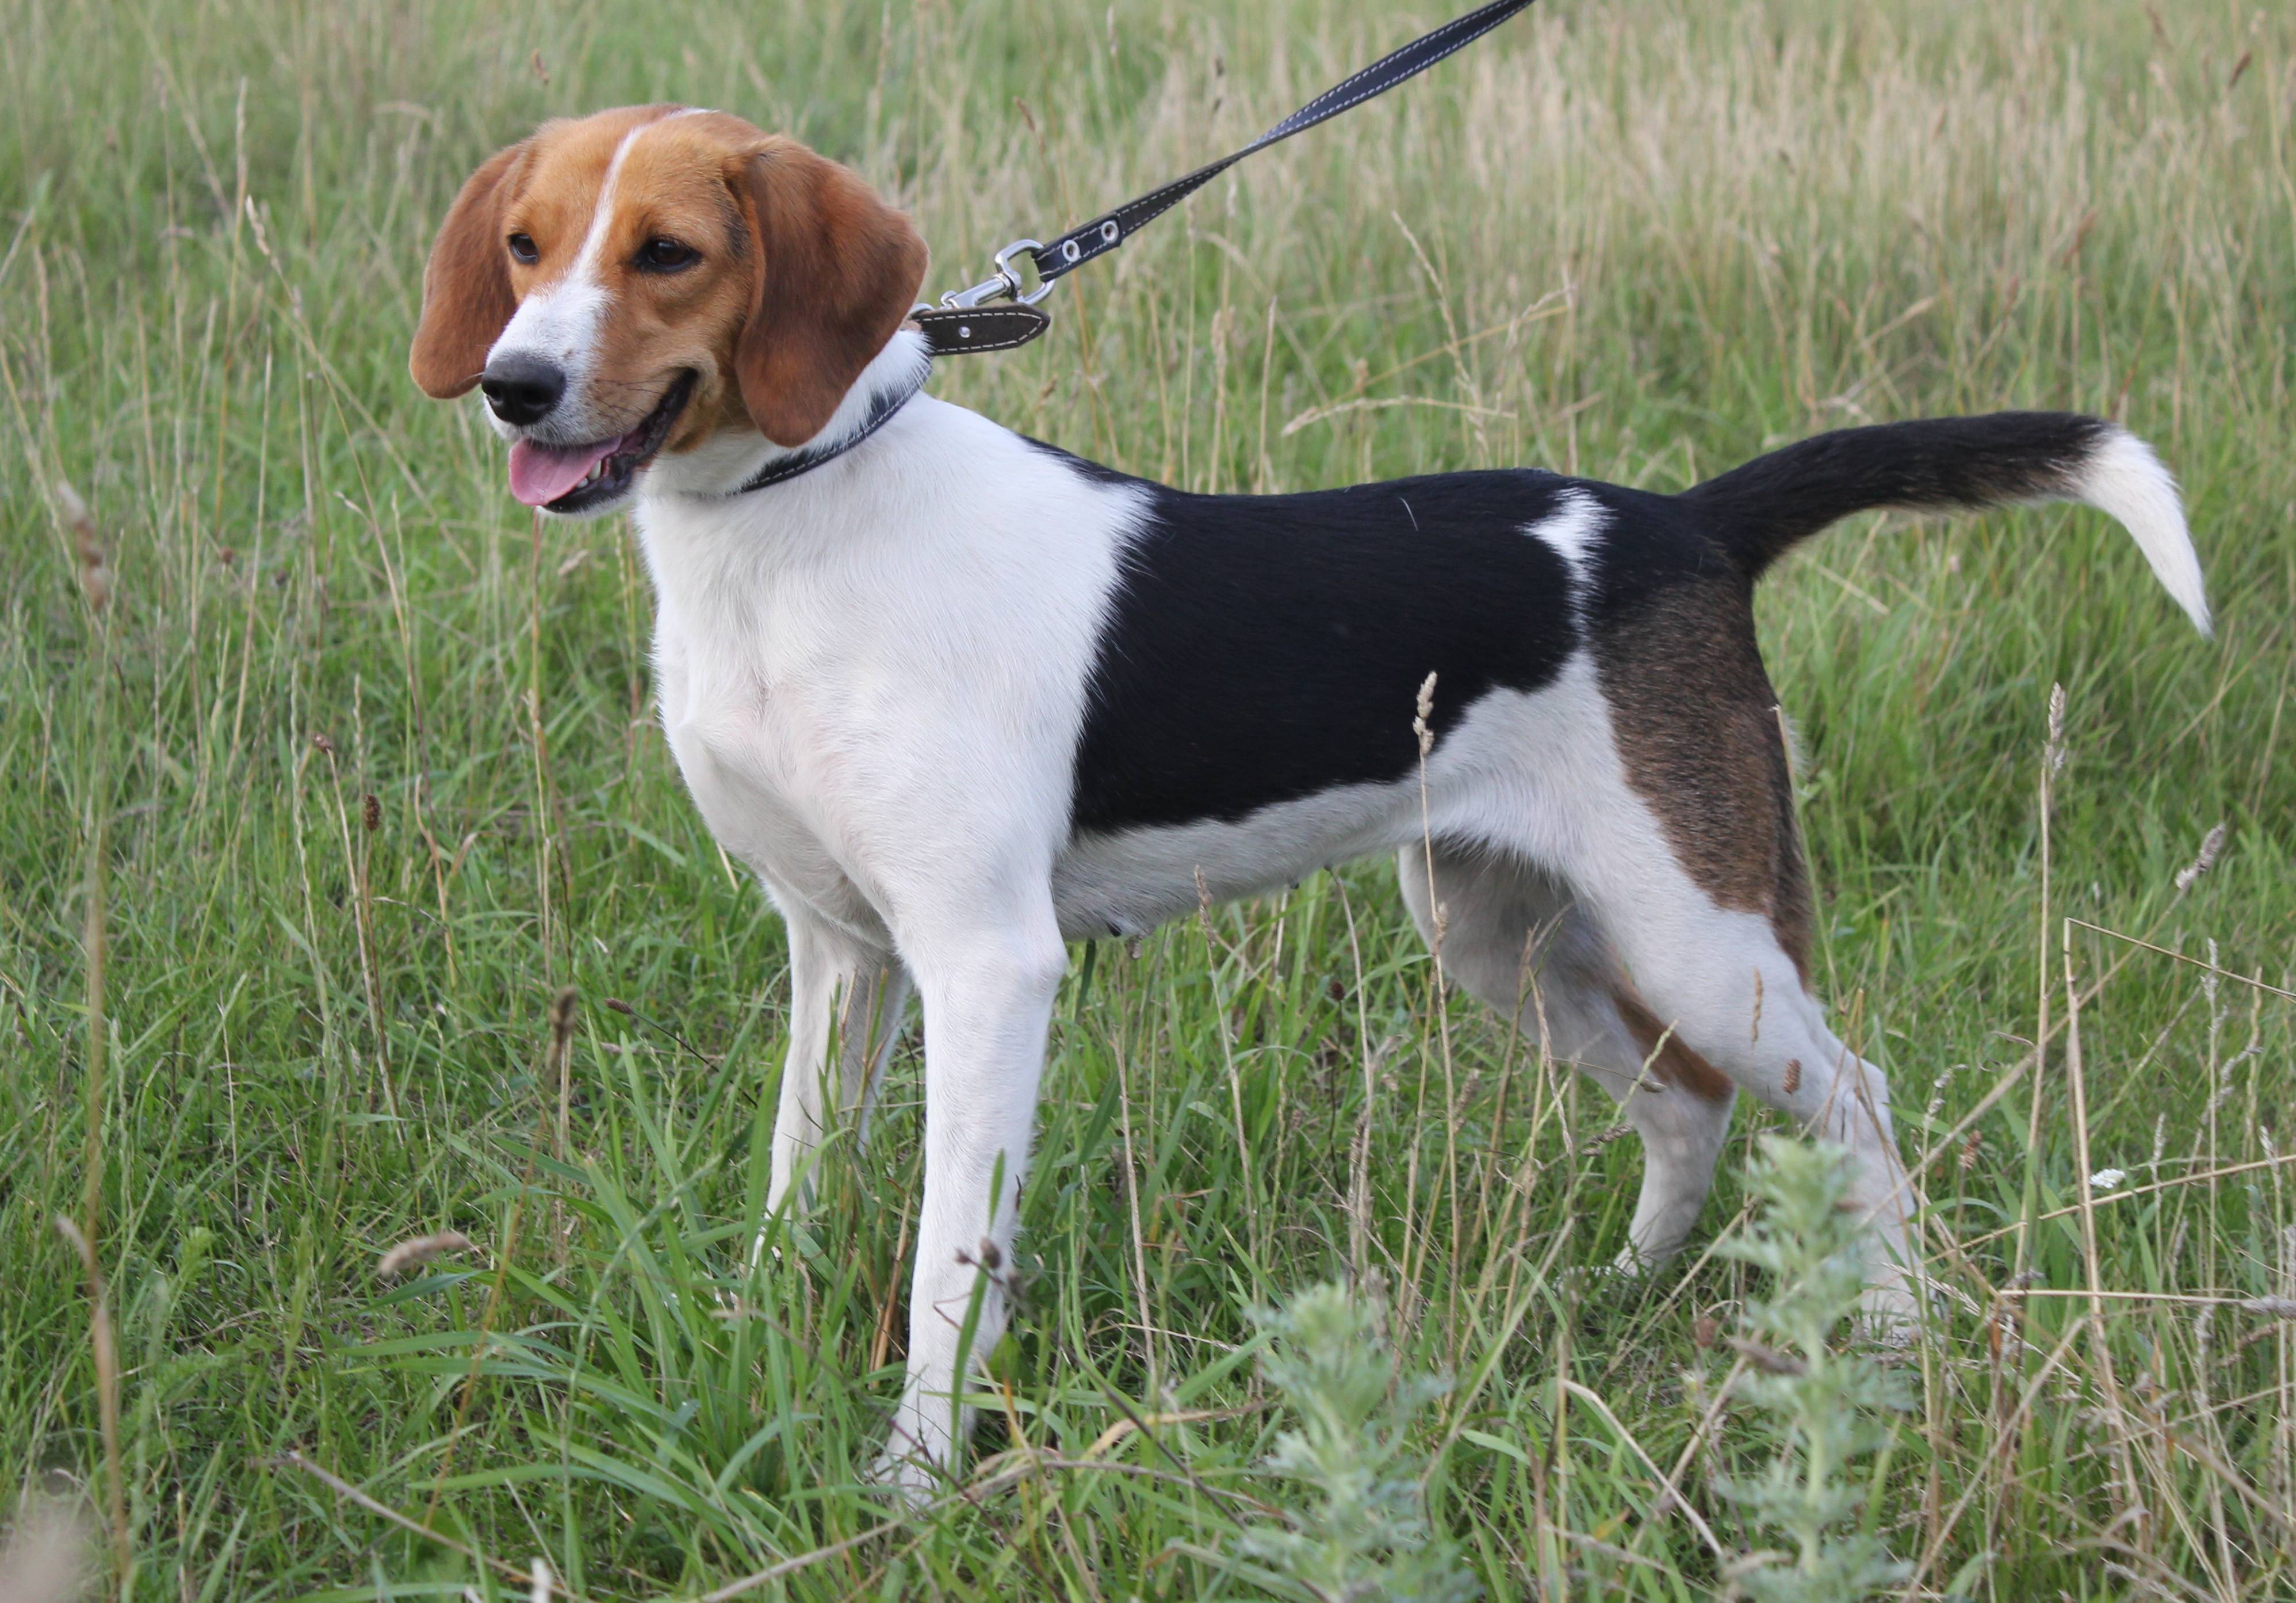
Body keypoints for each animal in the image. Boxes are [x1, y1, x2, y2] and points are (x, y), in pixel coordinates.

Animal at [408, 102, 2204, 1488]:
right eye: (528, 245)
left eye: (667, 254)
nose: (511, 383)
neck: (793, 517)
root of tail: (1683, 523)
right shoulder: (838, 953)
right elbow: (800, 1193)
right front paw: (750, 1347)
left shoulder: (987, 969)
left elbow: (943, 1261)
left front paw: (913, 1482)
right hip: (1506, 939)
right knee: (1682, 1107)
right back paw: (1622, 1289)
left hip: (1704, 939)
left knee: (1861, 1106)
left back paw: (1890, 1335)